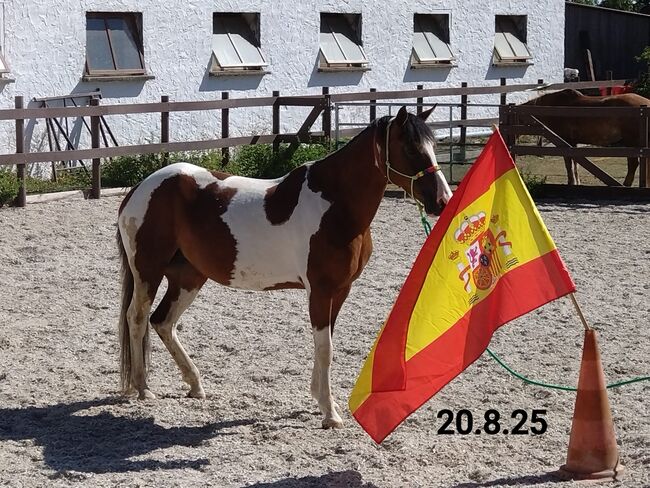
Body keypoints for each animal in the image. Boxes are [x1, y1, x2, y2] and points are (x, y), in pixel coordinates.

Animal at [116, 106, 453, 429]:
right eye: (410, 148)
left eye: (434, 146)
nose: (442, 201)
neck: (334, 205)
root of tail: (140, 189)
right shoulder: (320, 290)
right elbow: (325, 348)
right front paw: (330, 414)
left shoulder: (341, 289)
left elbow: (325, 343)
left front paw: (319, 399)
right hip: (148, 270)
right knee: (138, 317)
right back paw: (143, 388)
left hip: (189, 276)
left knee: (163, 321)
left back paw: (195, 384)